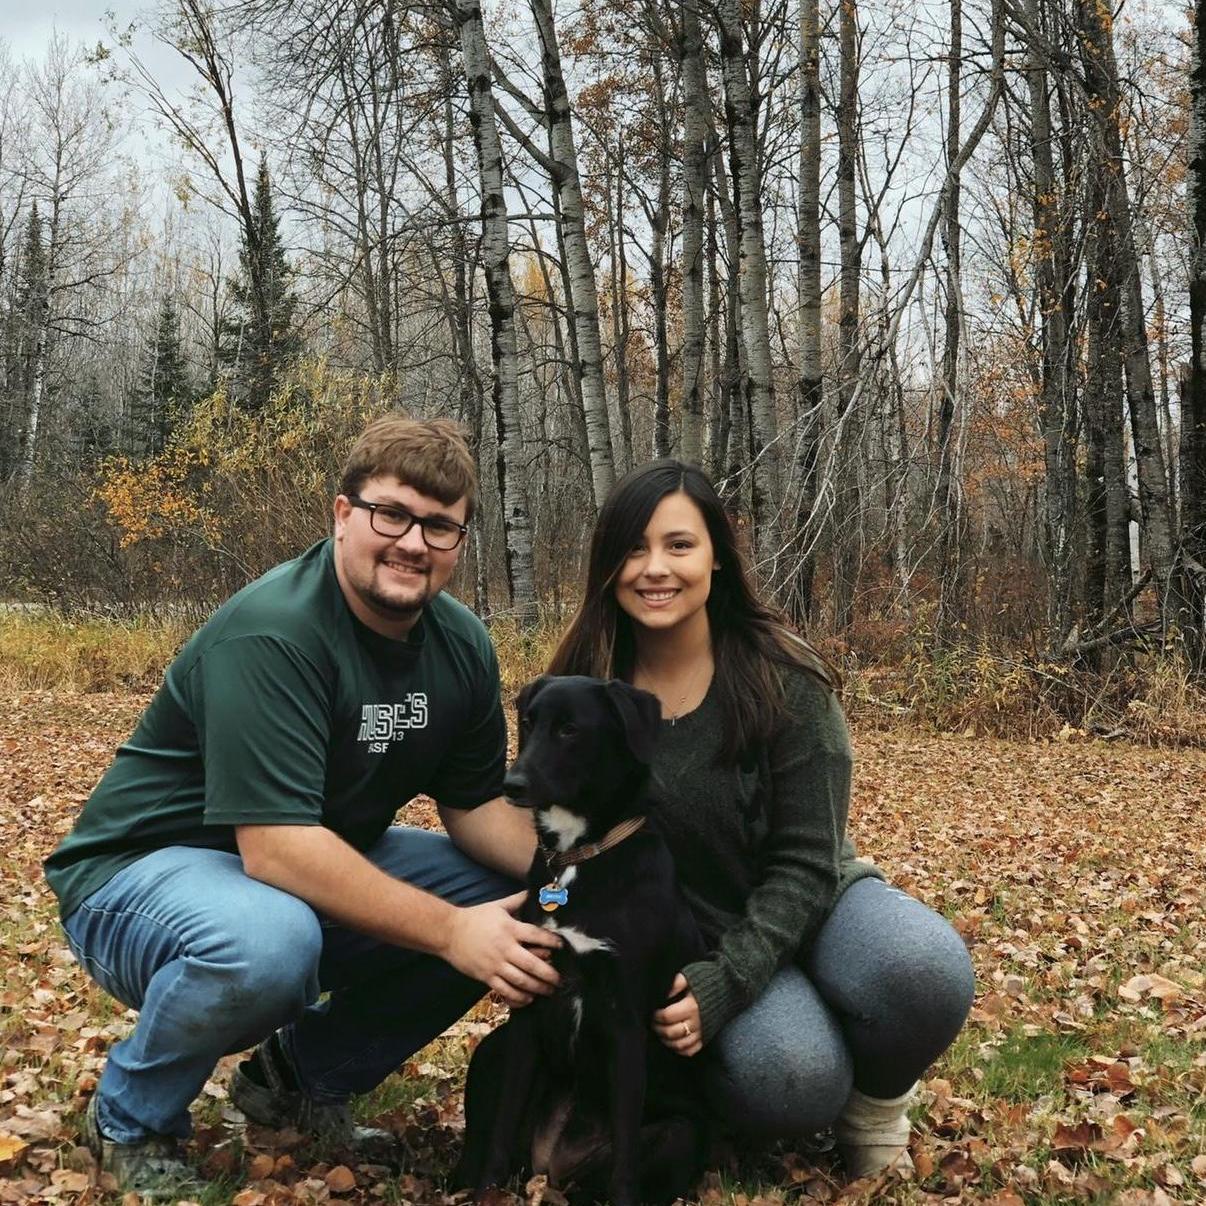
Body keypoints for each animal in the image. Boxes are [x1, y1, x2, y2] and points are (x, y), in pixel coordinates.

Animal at [455, 680, 709, 1206]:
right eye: (528, 721)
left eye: (570, 729)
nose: (512, 785)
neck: (576, 858)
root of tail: (550, 1169)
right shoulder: (528, 1008)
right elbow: (503, 1126)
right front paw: (489, 1192)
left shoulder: (626, 1025)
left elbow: (626, 1163)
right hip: (490, 1055)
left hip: (678, 1135)